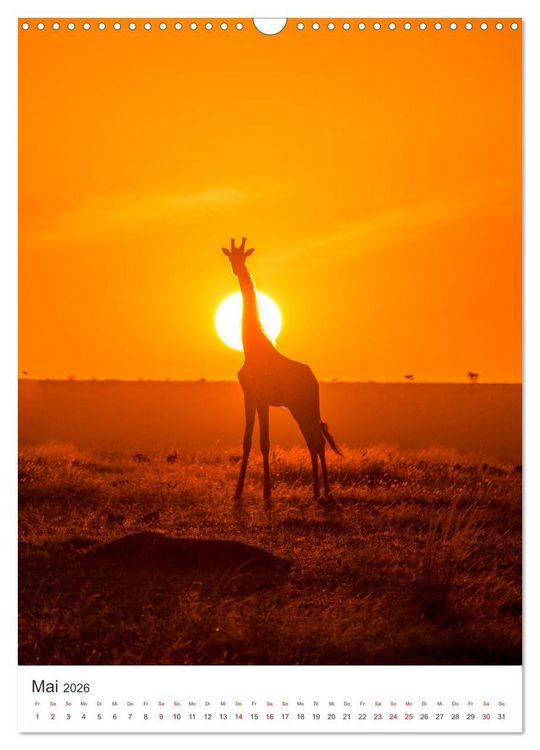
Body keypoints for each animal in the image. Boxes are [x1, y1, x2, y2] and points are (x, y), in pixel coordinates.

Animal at [221, 237, 341, 502]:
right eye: (230, 256)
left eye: (244, 256)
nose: (236, 269)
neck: (252, 348)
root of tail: (314, 380)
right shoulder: (249, 397)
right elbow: (247, 441)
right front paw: (237, 492)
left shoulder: (263, 399)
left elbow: (265, 442)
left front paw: (267, 492)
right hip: (297, 408)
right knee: (313, 440)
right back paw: (317, 492)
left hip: (307, 405)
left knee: (317, 440)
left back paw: (325, 492)